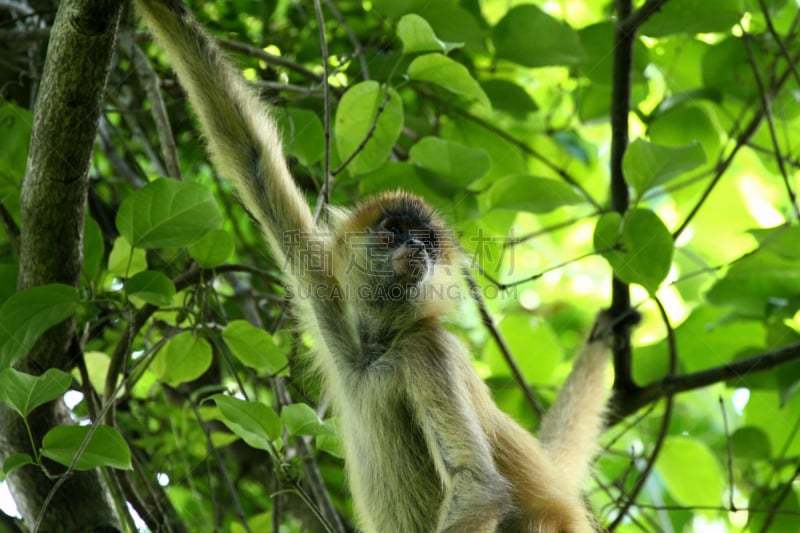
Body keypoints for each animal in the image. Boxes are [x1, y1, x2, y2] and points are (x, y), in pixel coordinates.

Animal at [136, 2, 612, 528]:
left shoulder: (429, 350)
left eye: (427, 241)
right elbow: (250, 155)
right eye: (395, 231)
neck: (377, 348)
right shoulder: (330, 298)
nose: (418, 248)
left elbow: (478, 488)